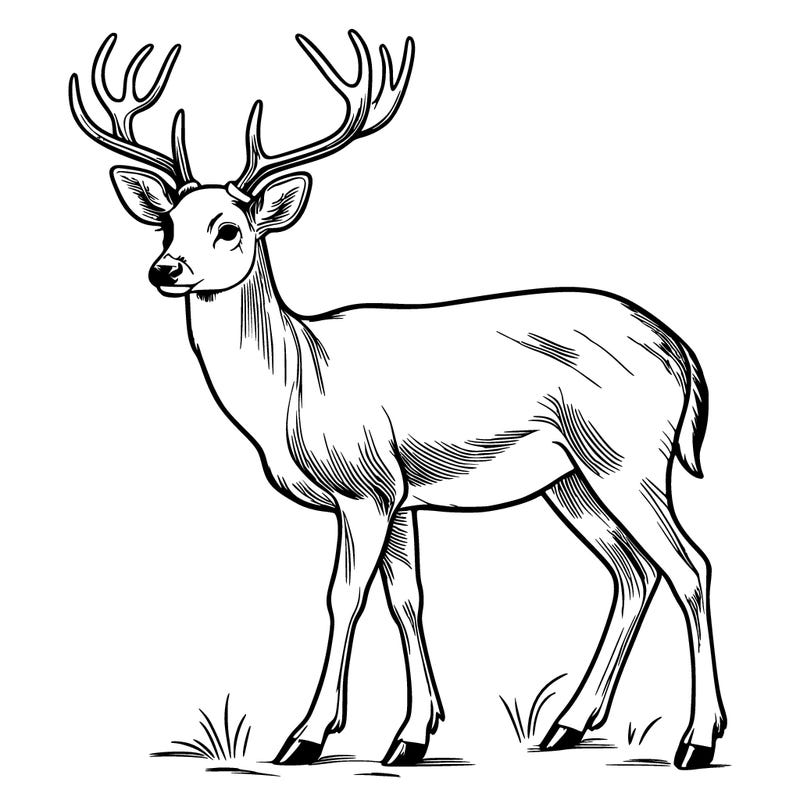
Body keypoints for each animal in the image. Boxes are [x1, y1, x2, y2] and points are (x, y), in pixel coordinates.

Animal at [69, 31, 726, 770]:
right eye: (167, 224)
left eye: (230, 228)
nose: (165, 270)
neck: (299, 381)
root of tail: (681, 352)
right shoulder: (401, 494)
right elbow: (407, 599)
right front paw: (413, 734)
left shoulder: (364, 486)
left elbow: (343, 598)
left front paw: (306, 735)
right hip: (571, 479)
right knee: (632, 572)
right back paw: (569, 724)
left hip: (630, 457)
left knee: (690, 567)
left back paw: (696, 739)